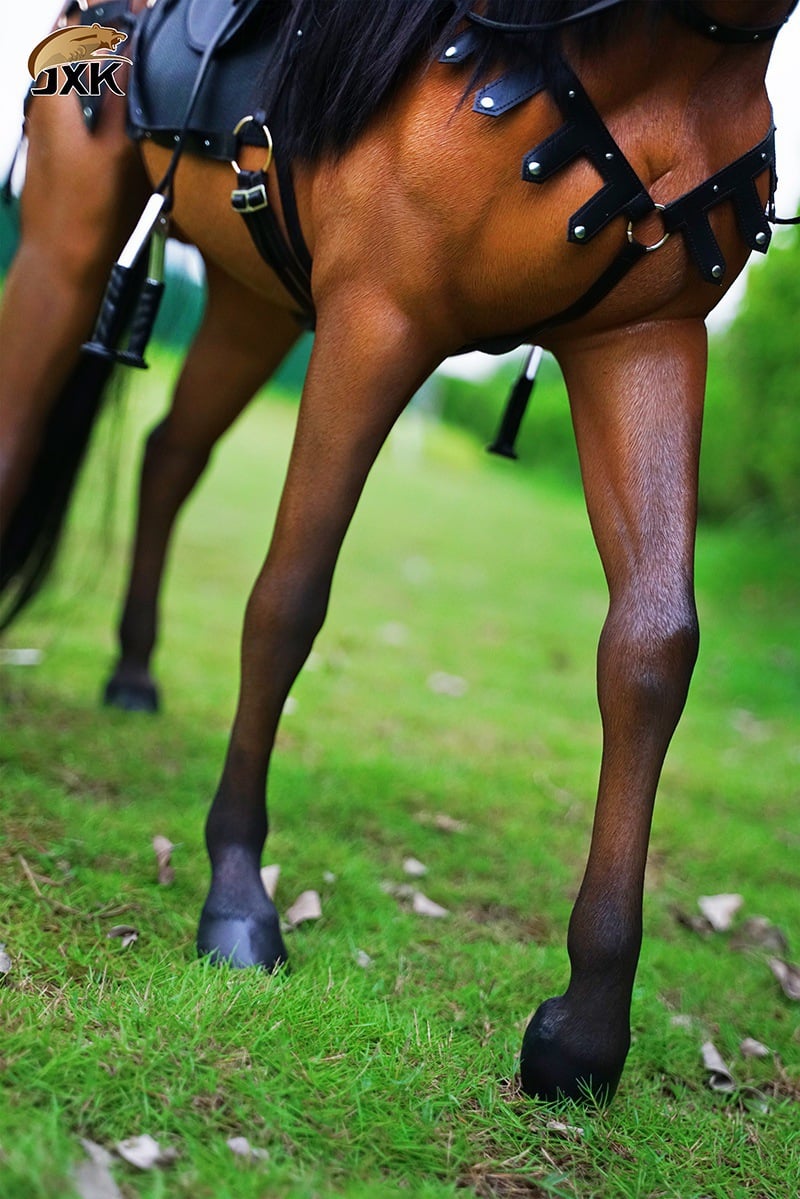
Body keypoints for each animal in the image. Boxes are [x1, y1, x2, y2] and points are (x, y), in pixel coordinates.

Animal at [1, 0, 797, 1105]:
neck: (657, 62)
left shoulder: (646, 340)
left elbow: (652, 649)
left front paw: (586, 1028)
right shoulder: (377, 318)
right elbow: (288, 597)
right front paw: (237, 896)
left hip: (253, 299)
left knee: (169, 456)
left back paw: (131, 671)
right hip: (69, 243)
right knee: (25, 419)